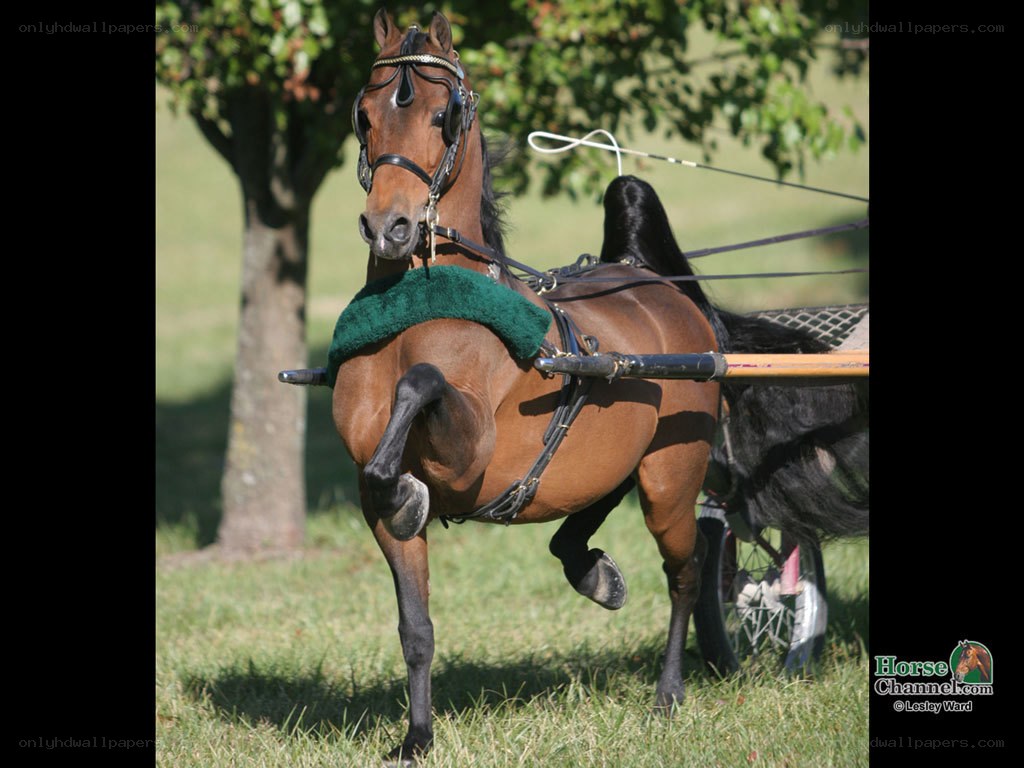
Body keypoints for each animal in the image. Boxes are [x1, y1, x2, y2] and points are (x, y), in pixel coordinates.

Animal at [331, 10, 868, 763]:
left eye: (443, 115)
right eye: (366, 114)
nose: (391, 227)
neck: (417, 309)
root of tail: (656, 282)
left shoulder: (468, 458)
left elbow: (422, 383)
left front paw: (407, 486)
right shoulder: (369, 499)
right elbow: (416, 625)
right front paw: (416, 738)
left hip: (671, 478)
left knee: (688, 571)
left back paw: (668, 693)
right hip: (613, 457)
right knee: (592, 519)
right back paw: (593, 573)